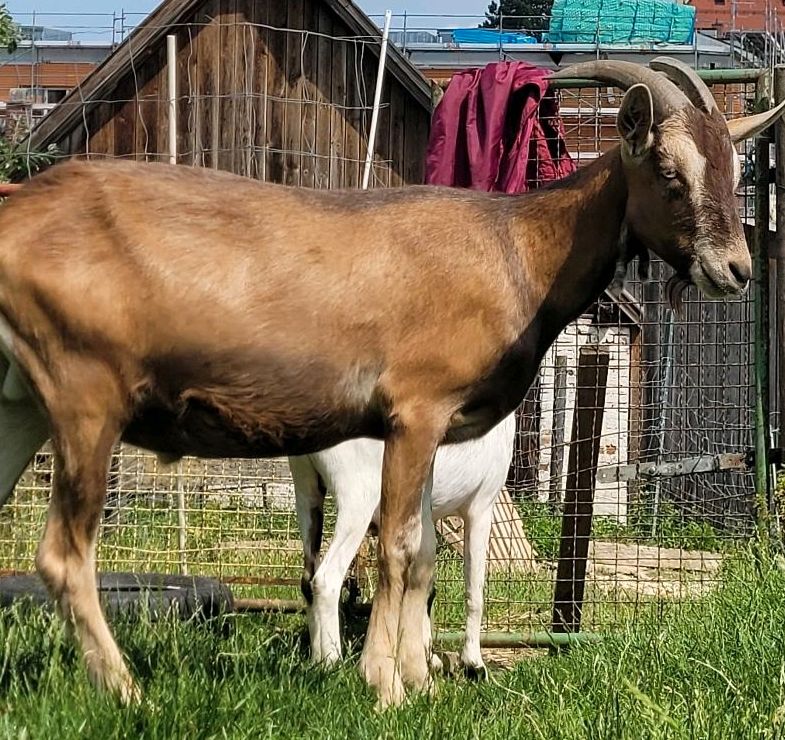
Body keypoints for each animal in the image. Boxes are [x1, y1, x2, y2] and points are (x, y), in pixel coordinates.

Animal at [290, 414, 516, 680]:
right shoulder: (481, 507)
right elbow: (474, 592)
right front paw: (474, 664)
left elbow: (424, 587)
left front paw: (427, 659)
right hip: (357, 499)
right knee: (326, 578)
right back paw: (332, 664)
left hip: (306, 493)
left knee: (307, 579)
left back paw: (316, 660)